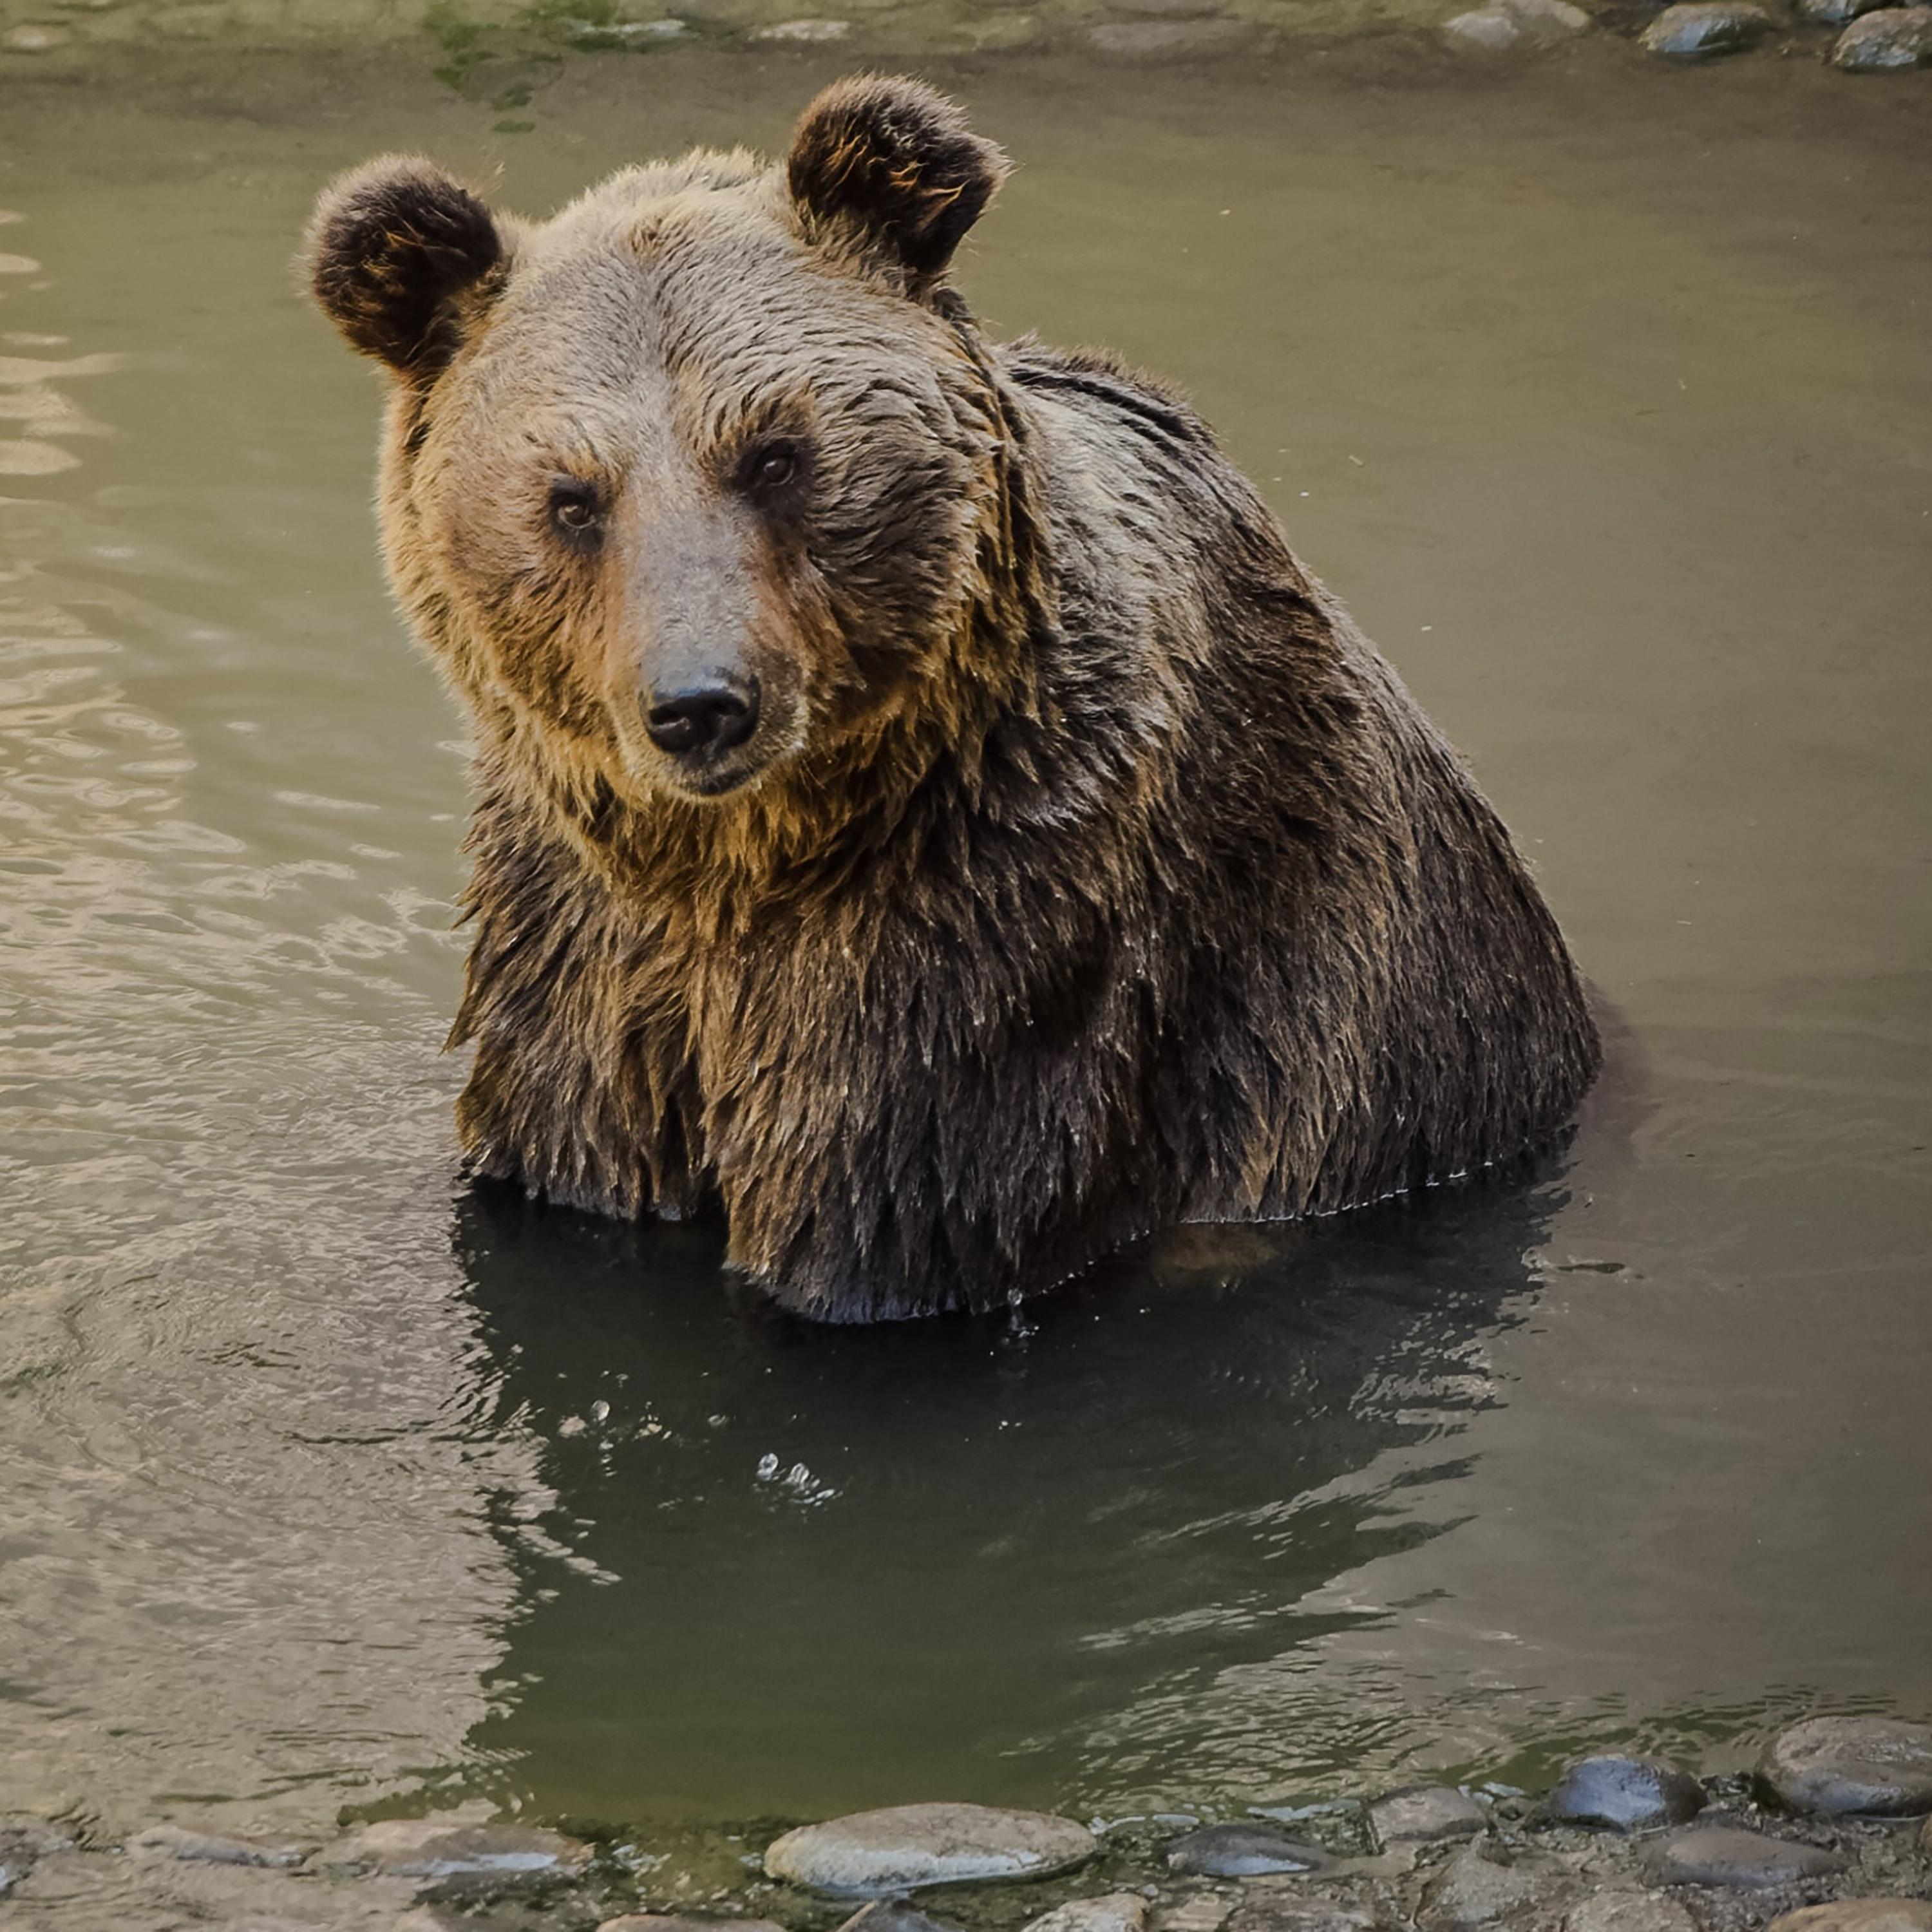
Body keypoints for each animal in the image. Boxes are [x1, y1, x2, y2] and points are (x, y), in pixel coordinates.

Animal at [301, 71, 1600, 1314]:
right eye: (572, 498)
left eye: (776, 454)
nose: (701, 704)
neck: (743, 863)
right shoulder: (574, 943)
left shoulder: (1010, 935)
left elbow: (894, 1210)